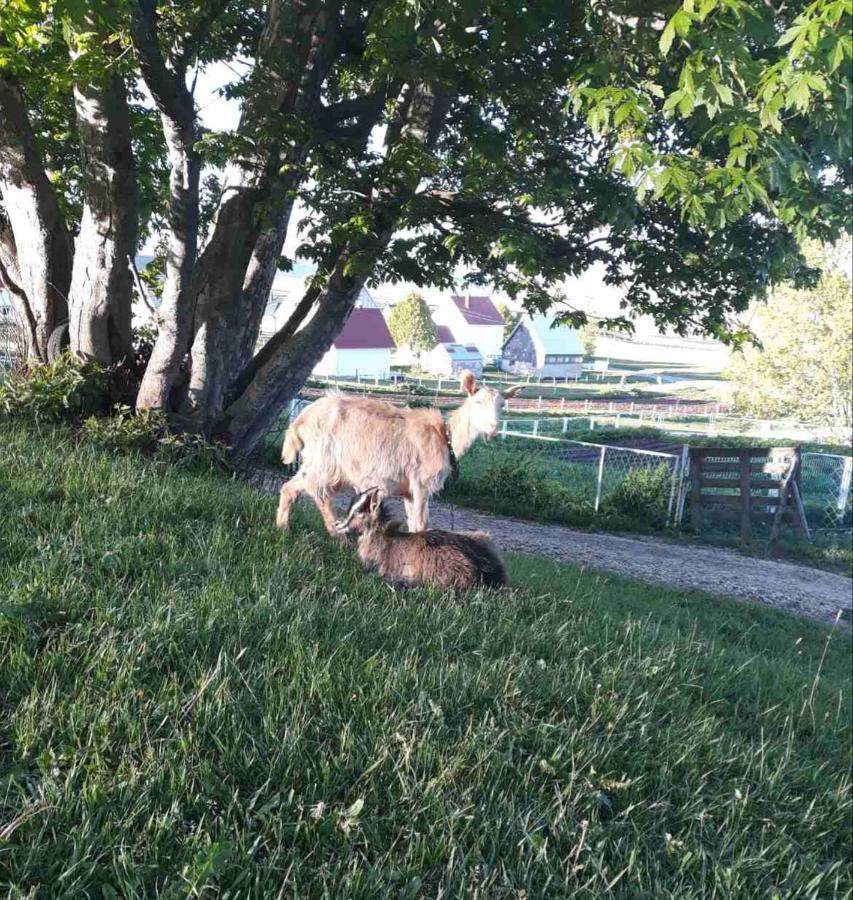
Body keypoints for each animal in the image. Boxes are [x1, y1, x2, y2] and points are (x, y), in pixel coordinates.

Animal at [278, 370, 520, 536]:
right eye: (477, 402)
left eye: (502, 405)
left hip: (316, 461)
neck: (446, 438)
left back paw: (283, 528)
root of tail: (301, 421)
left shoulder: (409, 490)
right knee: (319, 493)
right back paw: (337, 535)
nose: (493, 427)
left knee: (291, 488)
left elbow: (414, 524)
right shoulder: (422, 483)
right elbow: (422, 524)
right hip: (326, 460)